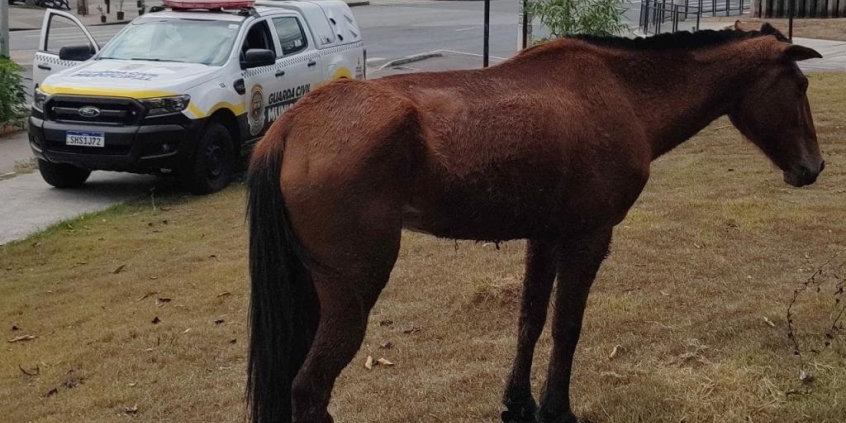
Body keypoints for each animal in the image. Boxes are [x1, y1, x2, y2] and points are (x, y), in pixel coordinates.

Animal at [245, 23, 824, 423]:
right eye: (799, 86)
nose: (814, 167)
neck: (620, 92)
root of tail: (292, 125)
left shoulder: (545, 238)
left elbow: (530, 321)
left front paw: (519, 402)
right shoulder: (587, 238)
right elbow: (568, 327)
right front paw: (556, 408)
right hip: (352, 293)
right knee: (309, 388)